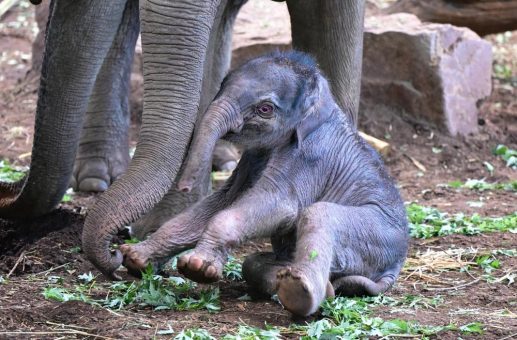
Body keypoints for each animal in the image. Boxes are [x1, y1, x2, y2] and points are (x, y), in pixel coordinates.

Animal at [120, 50, 408, 316]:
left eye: (265, 109)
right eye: (222, 85)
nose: (185, 186)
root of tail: (395, 266)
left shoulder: (308, 156)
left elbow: (279, 207)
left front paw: (197, 268)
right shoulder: (250, 160)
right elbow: (219, 203)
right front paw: (134, 258)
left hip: (375, 235)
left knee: (318, 214)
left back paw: (300, 292)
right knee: (253, 264)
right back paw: (315, 286)